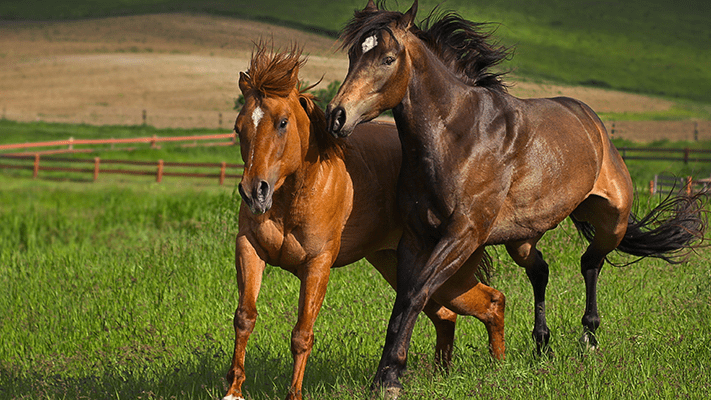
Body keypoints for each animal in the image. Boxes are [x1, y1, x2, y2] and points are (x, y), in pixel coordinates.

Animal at [223, 43, 505, 400]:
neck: (297, 194)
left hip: (448, 273)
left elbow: (302, 334)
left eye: (282, 122)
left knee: (491, 302)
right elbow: (244, 318)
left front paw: (294, 394)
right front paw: (233, 390)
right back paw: (442, 374)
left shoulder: (317, 265)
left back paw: (499, 368)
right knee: (446, 314)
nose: (253, 192)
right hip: (400, 268)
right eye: (238, 127)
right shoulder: (249, 249)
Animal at [326, 0, 706, 395]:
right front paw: (384, 375)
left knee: (590, 262)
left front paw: (390, 378)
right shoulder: (416, 238)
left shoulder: (463, 234)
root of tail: (594, 124)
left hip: (611, 222)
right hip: (520, 240)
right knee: (540, 270)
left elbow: (417, 293)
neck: (458, 137)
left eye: (387, 58)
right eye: (353, 54)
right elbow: (403, 299)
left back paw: (587, 338)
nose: (337, 115)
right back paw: (542, 344)